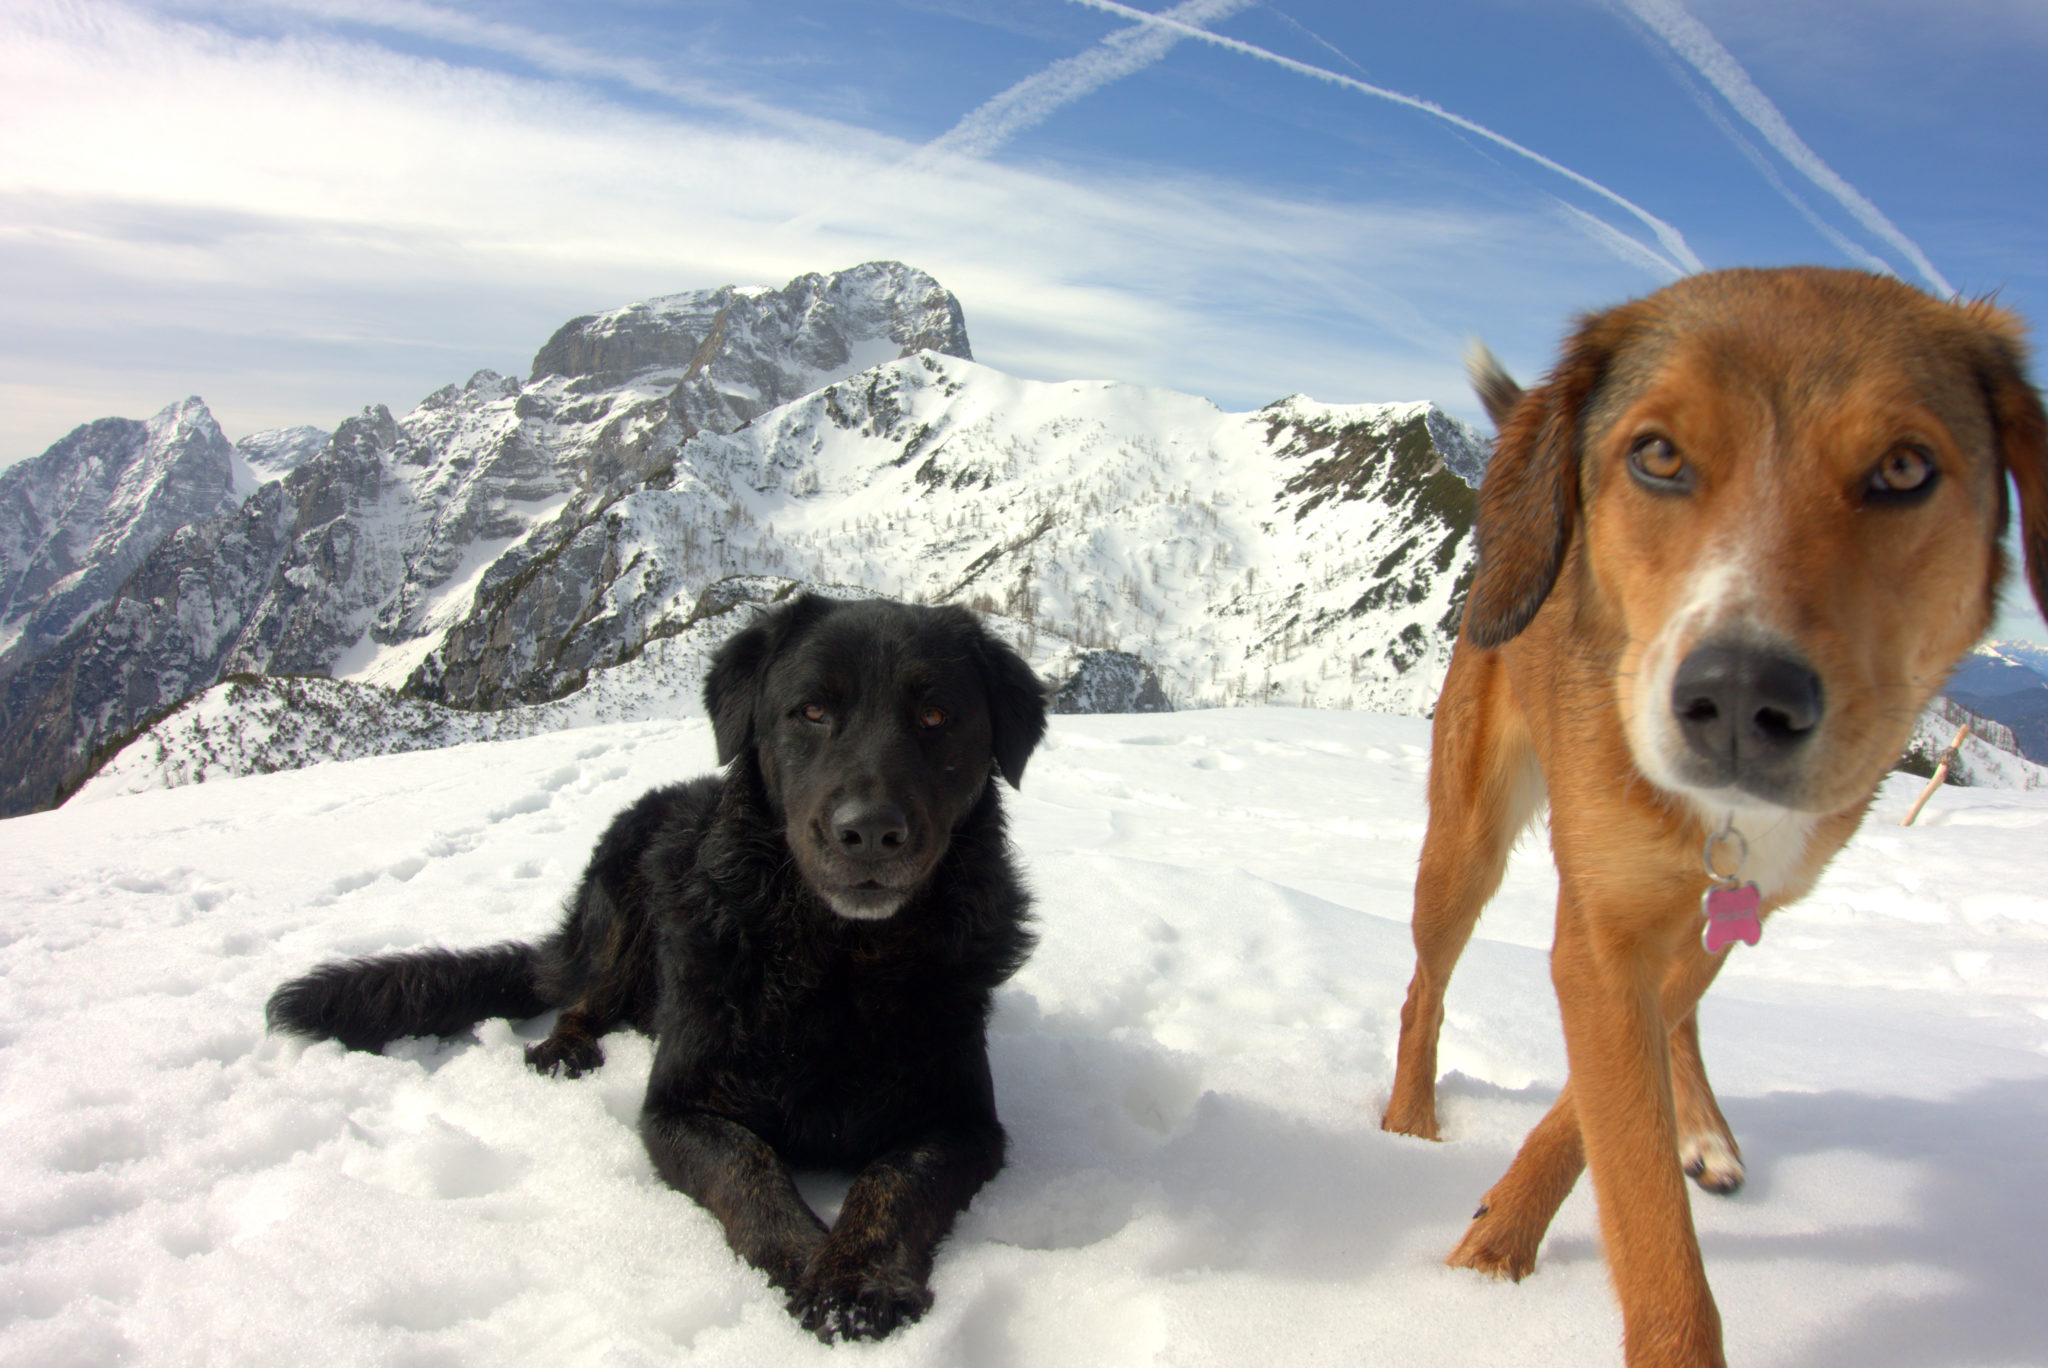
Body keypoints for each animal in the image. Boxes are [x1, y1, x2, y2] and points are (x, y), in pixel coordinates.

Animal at [264, 593, 1048, 1335]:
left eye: (936, 715)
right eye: (813, 710)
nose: (870, 832)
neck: (838, 962)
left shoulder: (964, 1124)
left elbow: (896, 1178)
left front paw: (854, 1279)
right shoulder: (677, 1109)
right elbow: (749, 1168)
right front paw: (803, 1259)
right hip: (624, 904)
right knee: (583, 998)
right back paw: (566, 1048)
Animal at [1376, 270, 2048, 1368]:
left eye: (1905, 467)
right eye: (1656, 455)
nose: (1739, 698)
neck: (1718, 818)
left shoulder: (1734, 898)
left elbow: (1601, 1109)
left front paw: (1504, 1232)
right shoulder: (1604, 926)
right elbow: (1643, 1207)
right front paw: (1492, 1267)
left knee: (1680, 1004)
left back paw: (1703, 1131)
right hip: (1464, 841)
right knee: (1423, 990)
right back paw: (1406, 1124)